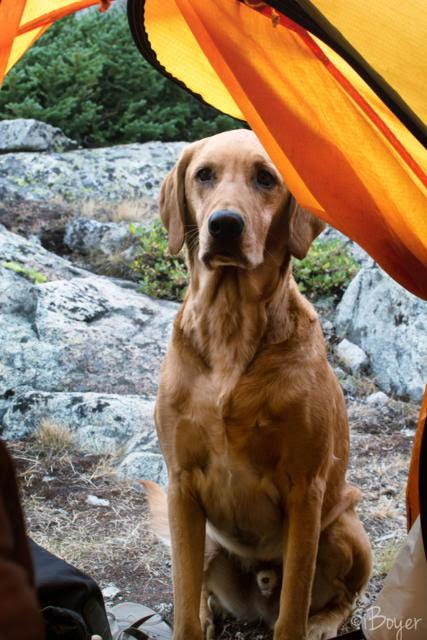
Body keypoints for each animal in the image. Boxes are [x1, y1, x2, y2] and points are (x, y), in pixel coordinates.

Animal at [153, 130, 372, 640]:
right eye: (204, 175)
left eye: (266, 178)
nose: (224, 225)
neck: (231, 326)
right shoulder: (181, 485)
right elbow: (183, 593)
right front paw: (191, 622)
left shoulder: (305, 489)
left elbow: (294, 603)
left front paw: (302, 623)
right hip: (206, 536)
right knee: (200, 588)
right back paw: (210, 614)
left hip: (344, 531)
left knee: (341, 597)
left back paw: (323, 623)